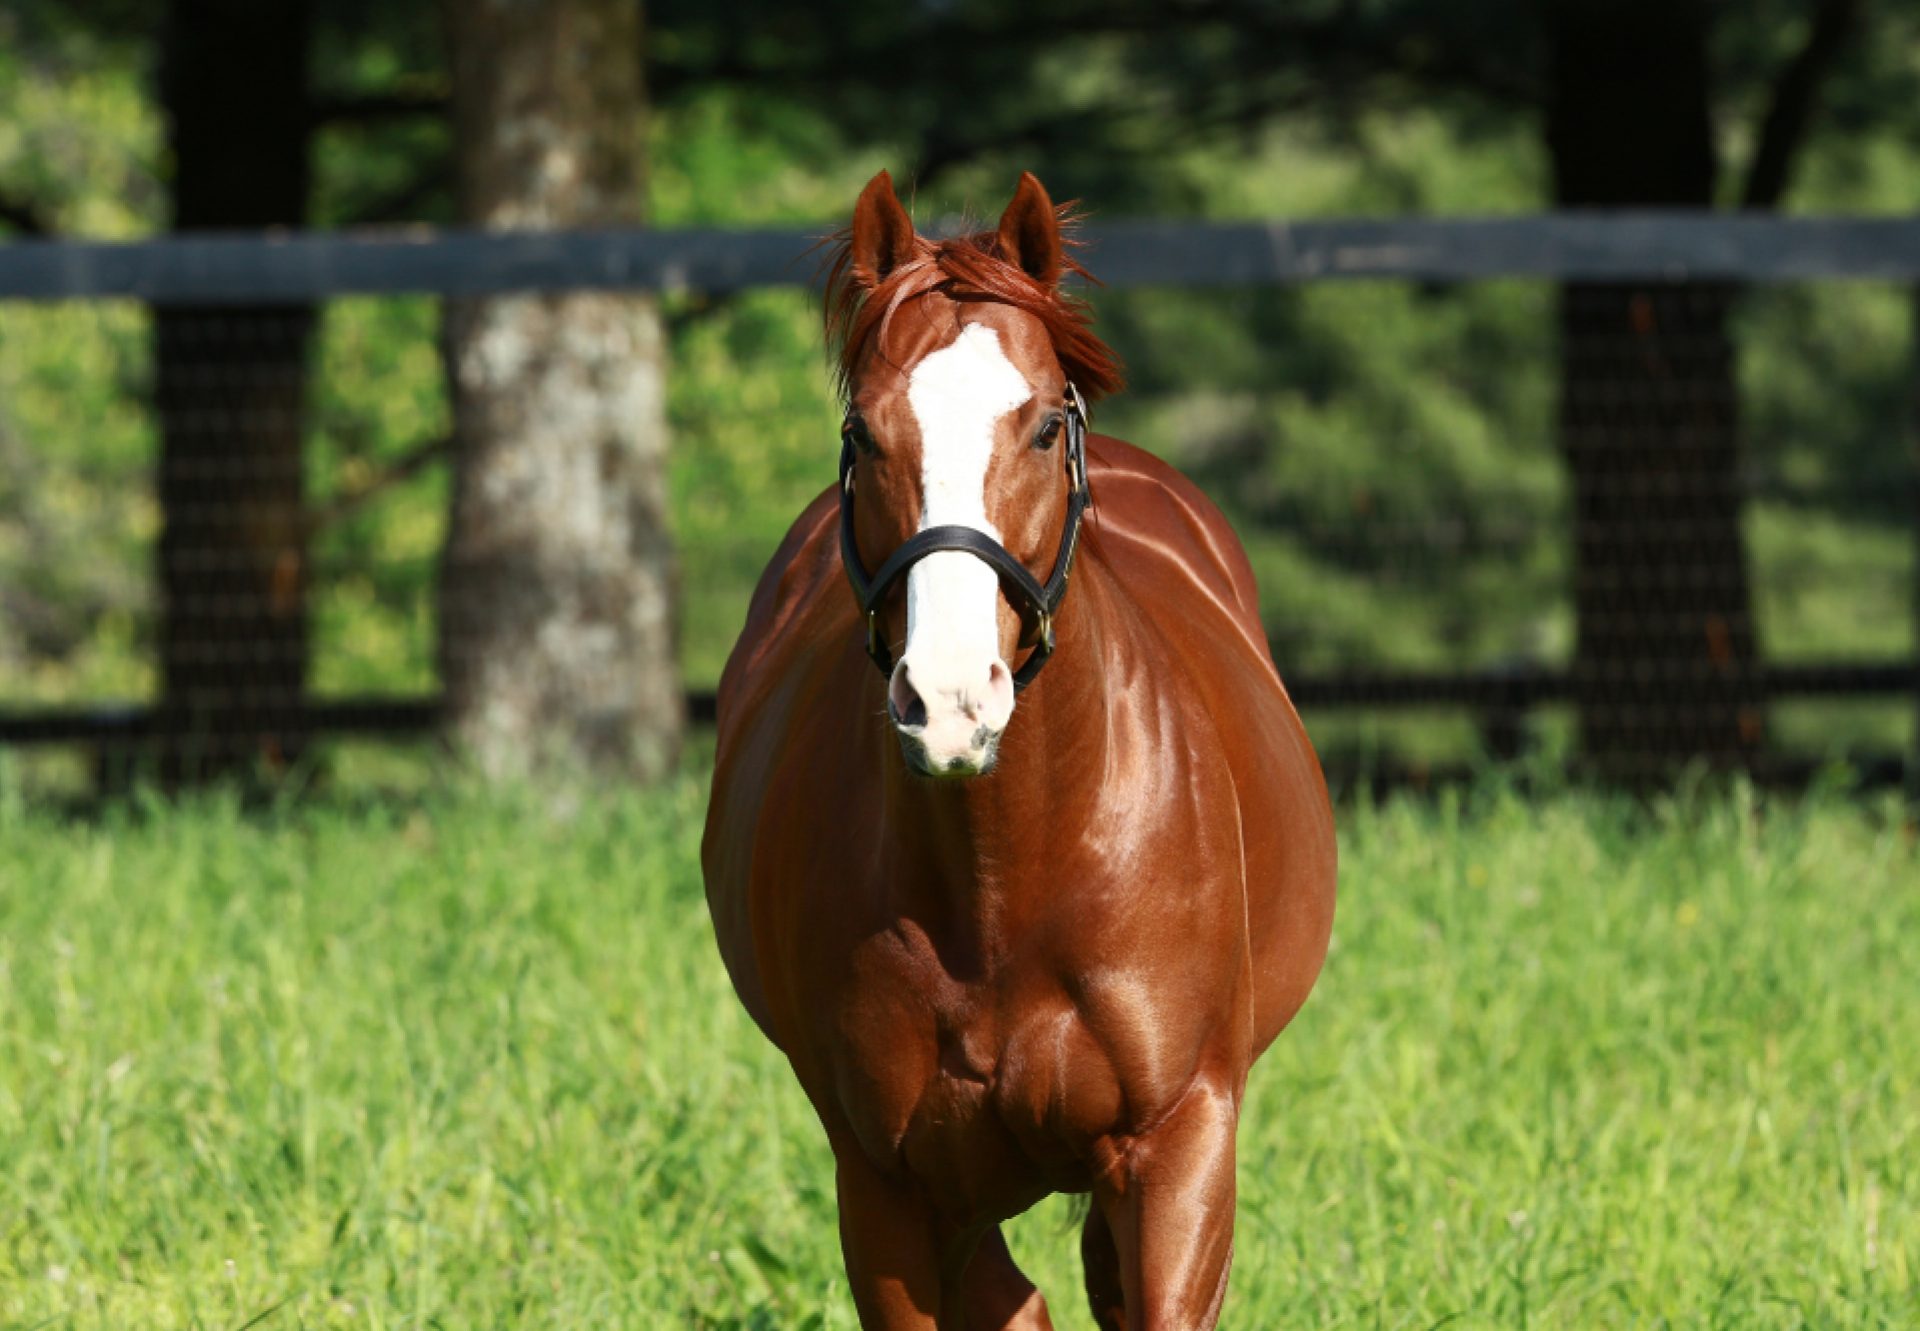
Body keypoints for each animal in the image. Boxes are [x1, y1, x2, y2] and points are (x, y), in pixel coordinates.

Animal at [702, 170, 1336, 1321]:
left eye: (1043, 426)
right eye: (865, 433)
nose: (952, 698)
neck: (1009, 872)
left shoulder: (1181, 1144)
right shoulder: (891, 1184)